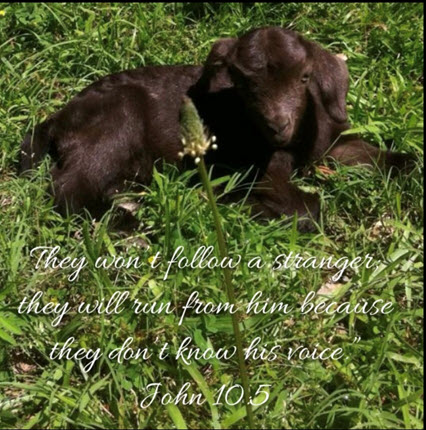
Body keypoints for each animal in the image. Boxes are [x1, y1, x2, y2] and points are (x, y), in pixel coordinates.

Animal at [18, 27, 414, 232]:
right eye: (243, 85)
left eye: (305, 78)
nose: (276, 126)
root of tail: (55, 119)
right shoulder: (257, 169)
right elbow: (309, 209)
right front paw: (249, 209)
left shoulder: (331, 144)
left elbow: (383, 157)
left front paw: (406, 169)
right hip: (115, 123)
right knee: (69, 188)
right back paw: (126, 224)